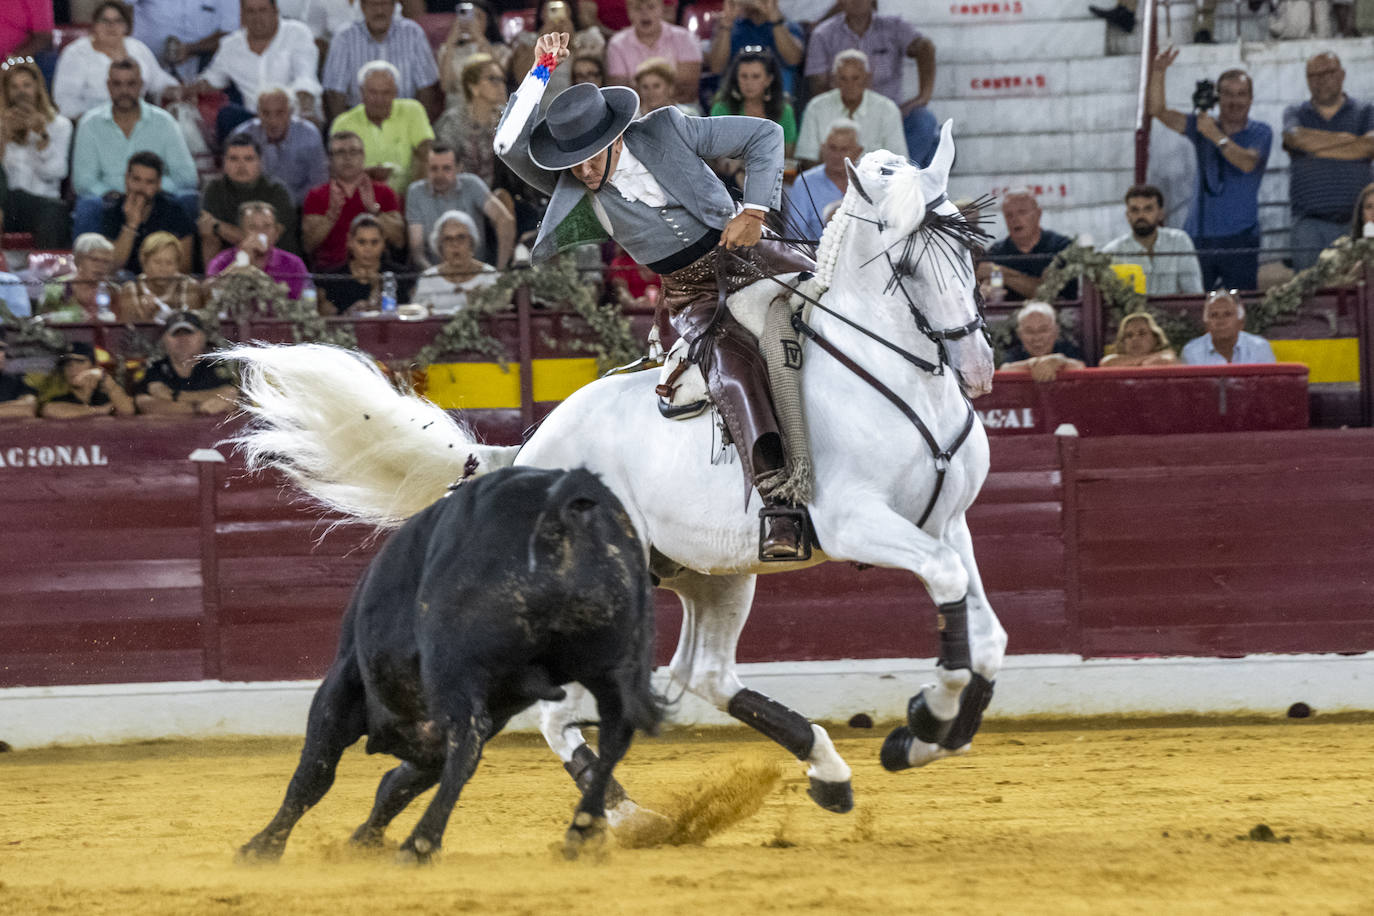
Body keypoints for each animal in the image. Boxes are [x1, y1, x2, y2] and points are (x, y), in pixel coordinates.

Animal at [240, 469, 665, 862]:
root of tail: (566, 507)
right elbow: (400, 783)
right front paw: (364, 838)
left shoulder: (343, 684)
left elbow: (316, 773)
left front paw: (262, 848)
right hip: (613, 667)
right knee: (614, 734)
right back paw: (584, 829)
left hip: (453, 669)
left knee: (466, 744)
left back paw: (420, 844)